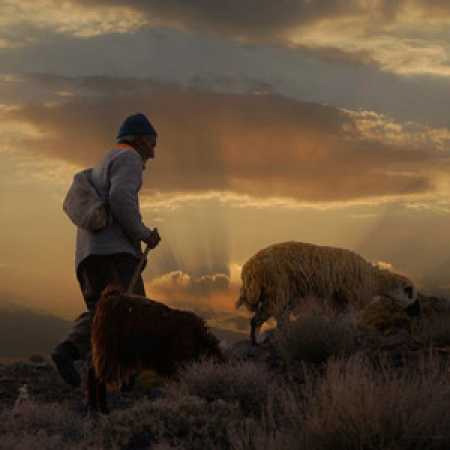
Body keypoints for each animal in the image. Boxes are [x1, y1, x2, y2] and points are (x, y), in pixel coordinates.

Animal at [86, 286, 223, 414]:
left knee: (93, 371)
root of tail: (108, 297)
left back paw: (94, 406)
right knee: (96, 376)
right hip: (108, 351)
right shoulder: (178, 364)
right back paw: (102, 408)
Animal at [237, 243, 416, 344]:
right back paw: (257, 341)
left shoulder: (336, 300)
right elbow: (348, 320)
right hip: (276, 290)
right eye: (411, 294)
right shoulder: (350, 297)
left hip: (283, 293)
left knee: (280, 318)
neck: (374, 279)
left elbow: (339, 319)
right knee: (258, 319)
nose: (415, 312)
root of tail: (249, 268)